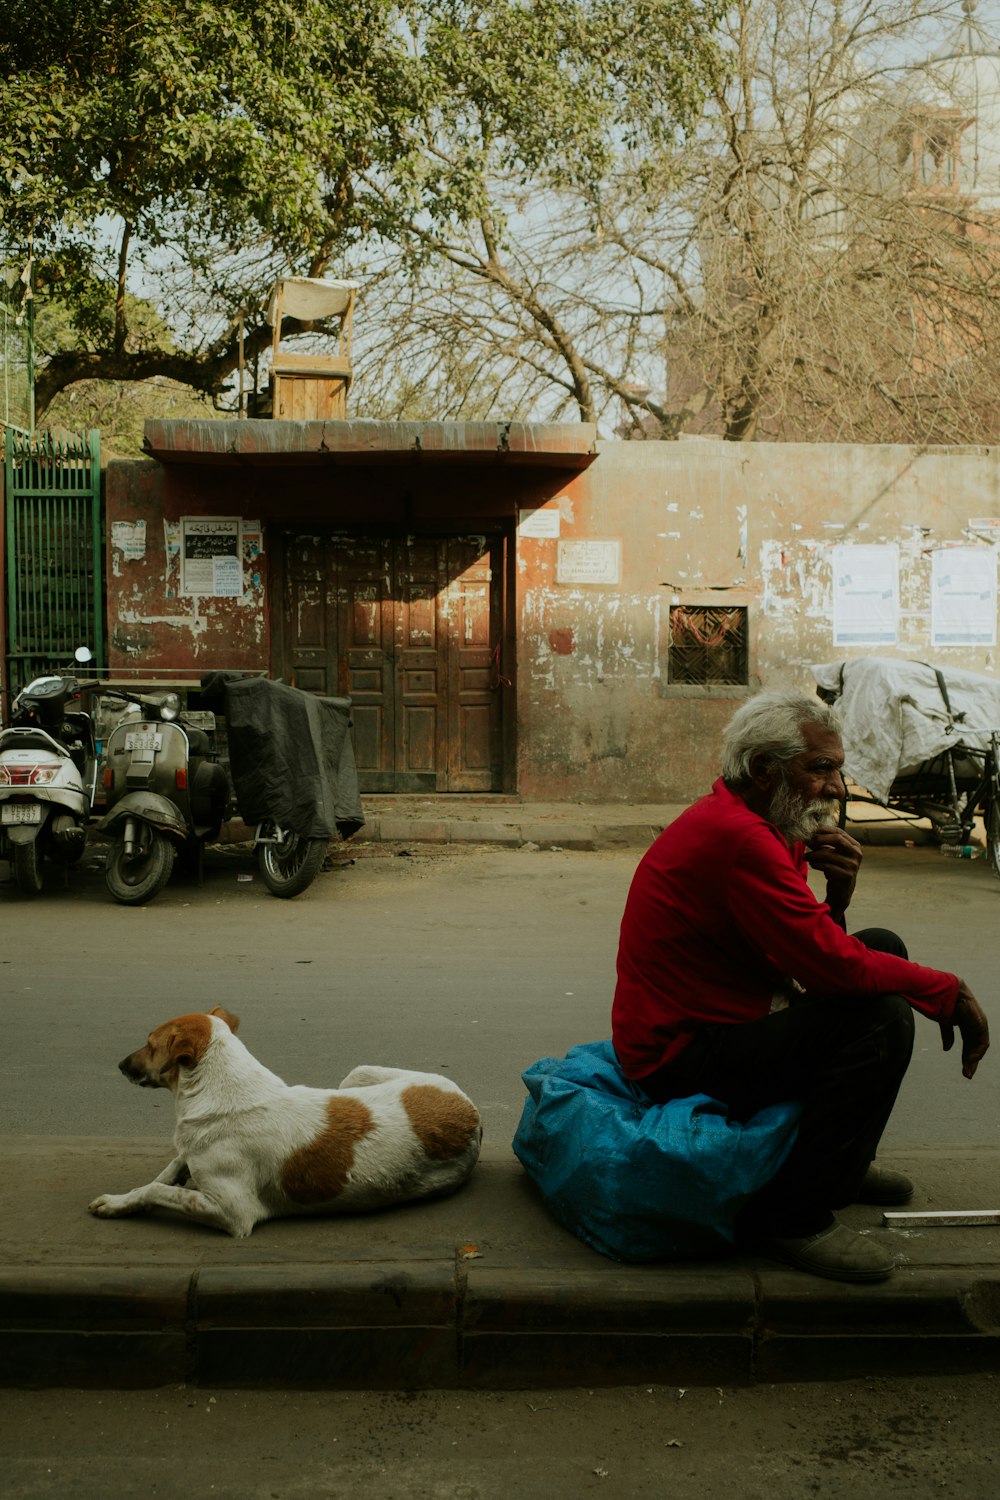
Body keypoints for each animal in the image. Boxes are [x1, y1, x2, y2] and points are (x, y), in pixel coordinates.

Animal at [89, 1008, 485, 1242]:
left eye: (149, 1044)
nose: (120, 1065)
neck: (221, 1089)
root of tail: (472, 1111)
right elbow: (167, 1170)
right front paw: (127, 1198)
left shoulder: (234, 1211)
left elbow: (157, 1189)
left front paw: (123, 1201)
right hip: (355, 1076)